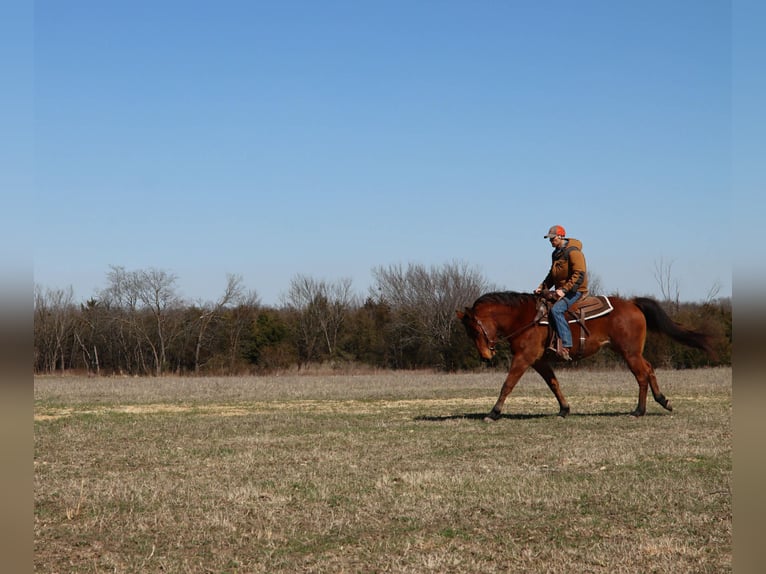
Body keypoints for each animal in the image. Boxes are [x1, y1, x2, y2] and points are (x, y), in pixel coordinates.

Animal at [456, 292, 716, 421]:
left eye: (475, 330)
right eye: (468, 333)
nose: (485, 356)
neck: (526, 317)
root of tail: (633, 304)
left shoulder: (524, 358)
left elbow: (507, 385)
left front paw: (493, 413)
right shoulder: (539, 361)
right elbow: (554, 384)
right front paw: (564, 409)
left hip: (629, 353)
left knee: (642, 375)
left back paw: (639, 411)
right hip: (630, 352)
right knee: (650, 369)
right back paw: (662, 400)